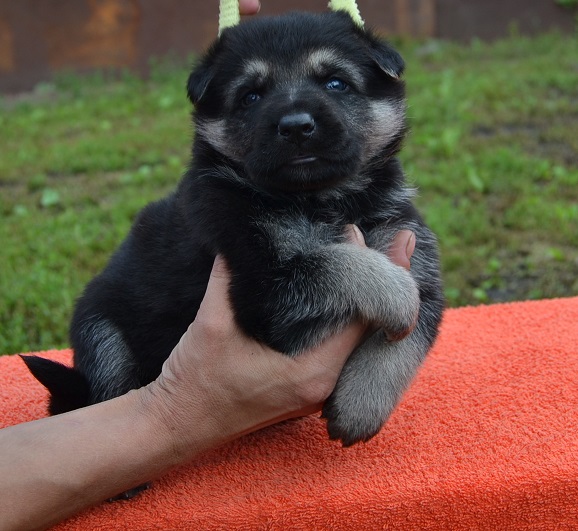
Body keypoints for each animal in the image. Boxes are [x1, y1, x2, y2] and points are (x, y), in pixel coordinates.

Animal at [22, 9, 444, 448]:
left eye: (335, 82)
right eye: (251, 96)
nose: (296, 126)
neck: (318, 198)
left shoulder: (411, 246)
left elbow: (407, 339)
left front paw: (361, 406)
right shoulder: (262, 289)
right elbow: (338, 263)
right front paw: (396, 295)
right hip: (101, 331)